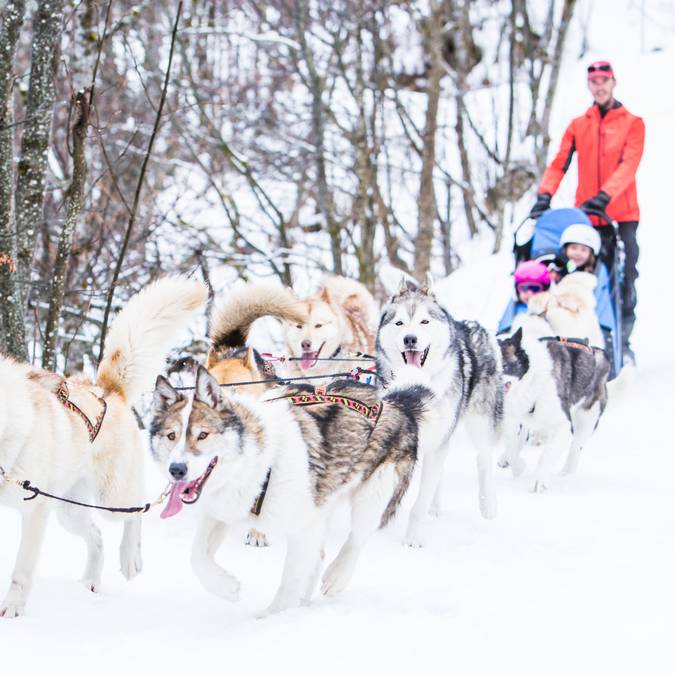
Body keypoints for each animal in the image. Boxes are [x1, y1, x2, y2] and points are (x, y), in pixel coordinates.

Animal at [0, 276, 207, 616]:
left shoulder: (35, 510)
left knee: (136, 509)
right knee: (96, 537)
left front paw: (13, 610)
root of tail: (107, 390)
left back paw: (130, 557)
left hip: (110, 498)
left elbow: (20, 572)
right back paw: (90, 583)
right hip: (68, 510)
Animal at [149, 368, 438, 616]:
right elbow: (196, 557)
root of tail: (394, 403)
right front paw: (227, 587)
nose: (177, 470)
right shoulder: (222, 511)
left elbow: (290, 581)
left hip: (372, 493)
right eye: (171, 436)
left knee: (356, 538)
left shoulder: (303, 527)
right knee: (321, 555)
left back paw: (337, 576)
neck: (259, 466)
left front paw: (272, 618)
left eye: (203, 435)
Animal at [378, 278, 504, 548]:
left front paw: (412, 538)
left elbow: (419, 503)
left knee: (484, 457)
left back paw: (488, 505)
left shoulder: (439, 442)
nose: (410, 339)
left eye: (424, 321)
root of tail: (469, 325)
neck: (417, 383)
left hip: (480, 420)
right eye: (399, 323)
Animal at [496, 328, 612, 492]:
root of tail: (597, 351)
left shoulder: (564, 425)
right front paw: (518, 467)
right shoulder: (510, 420)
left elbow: (546, 455)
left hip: (587, 417)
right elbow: (511, 446)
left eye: (504, 366)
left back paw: (566, 473)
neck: (531, 381)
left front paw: (538, 481)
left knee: (575, 448)